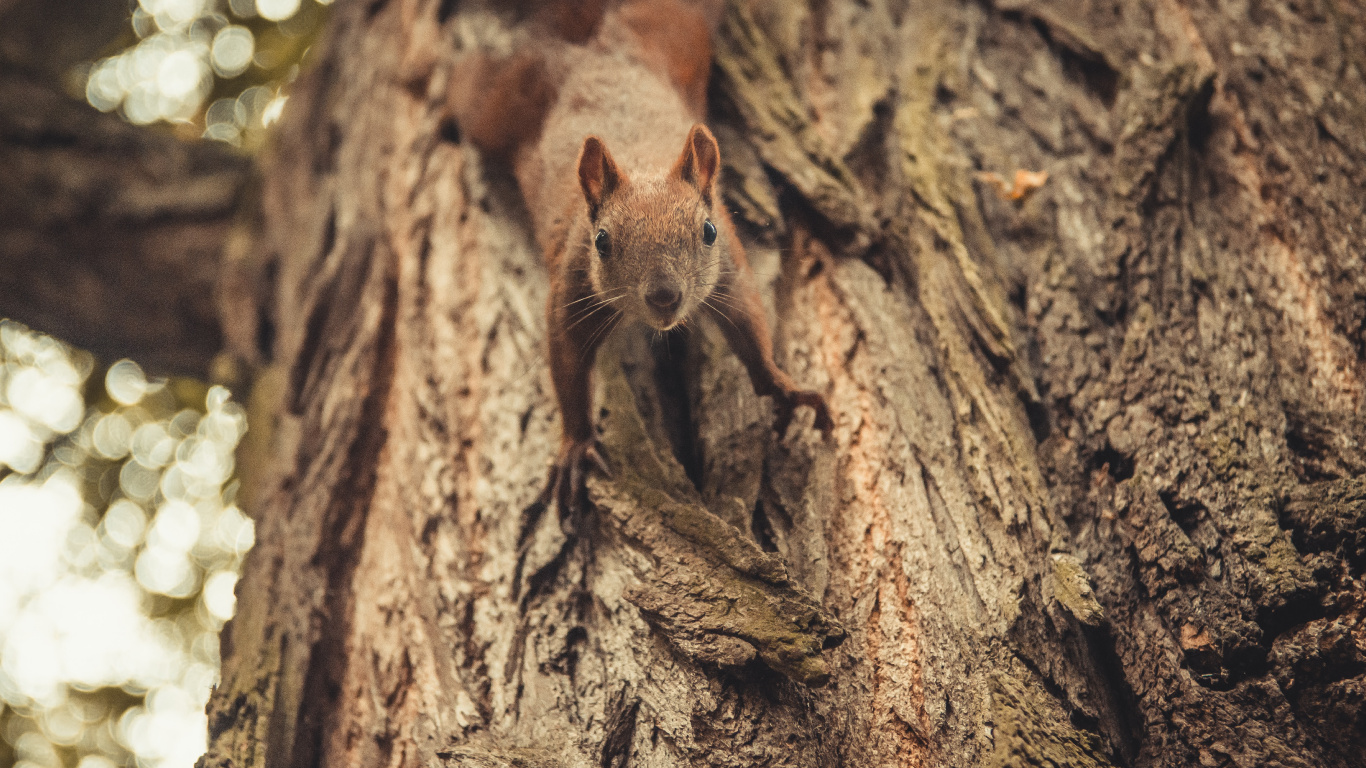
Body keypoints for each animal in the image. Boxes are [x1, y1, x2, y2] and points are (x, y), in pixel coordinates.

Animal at [448, 1, 830, 513]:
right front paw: (577, 444)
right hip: (500, 109)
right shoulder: (572, 283)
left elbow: (748, 322)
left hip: (679, 34)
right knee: (468, 86)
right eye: (602, 241)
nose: (665, 297)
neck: (644, 163)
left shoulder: (728, 266)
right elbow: (567, 362)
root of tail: (595, 50)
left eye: (708, 231)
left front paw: (782, 385)